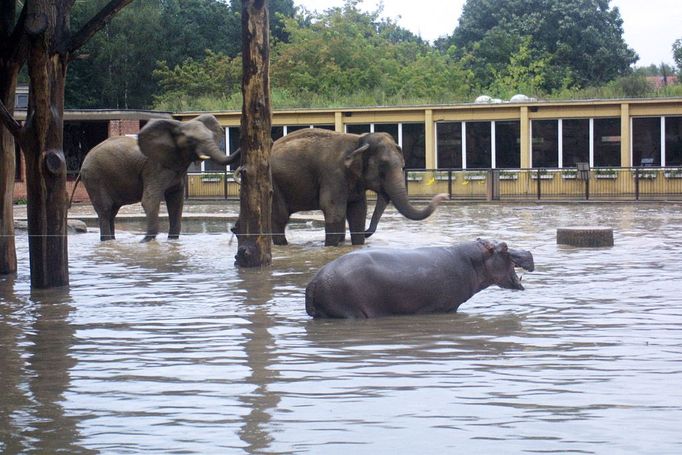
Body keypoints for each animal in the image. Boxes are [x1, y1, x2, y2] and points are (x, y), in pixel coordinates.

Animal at [73, 114, 239, 242]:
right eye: (191, 141)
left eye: (212, 137)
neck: (178, 126)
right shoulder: (154, 167)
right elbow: (149, 200)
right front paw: (146, 242)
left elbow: (176, 202)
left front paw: (172, 241)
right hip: (95, 177)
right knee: (105, 209)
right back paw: (108, 241)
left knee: (112, 211)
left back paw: (110, 241)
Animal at [268, 128, 448, 248]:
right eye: (382, 168)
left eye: (403, 167)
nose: (444, 196)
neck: (359, 140)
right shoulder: (333, 174)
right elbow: (335, 211)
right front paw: (331, 246)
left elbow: (358, 212)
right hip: (274, 185)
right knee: (279, 217)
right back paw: (282, 245)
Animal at [306, 239, 532, 320]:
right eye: (504, 247)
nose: (529, 251)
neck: (474, 260)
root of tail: (314, 280)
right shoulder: (447, 307)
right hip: (350, 312)